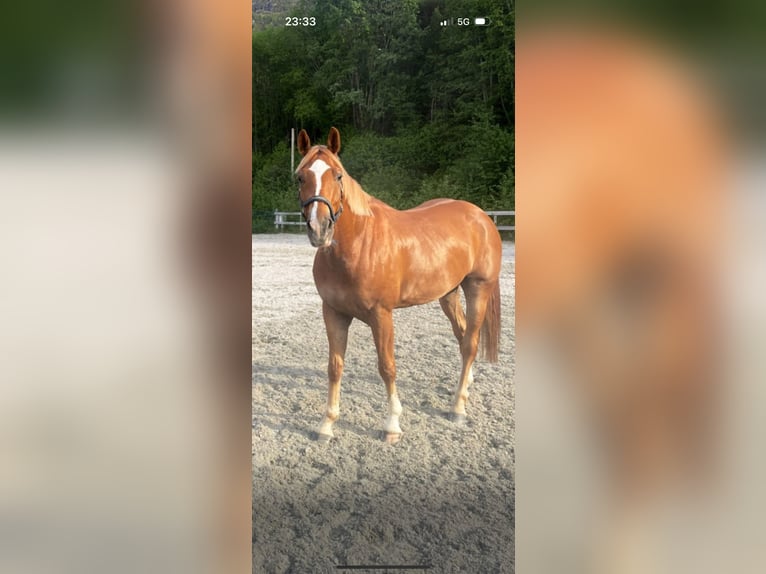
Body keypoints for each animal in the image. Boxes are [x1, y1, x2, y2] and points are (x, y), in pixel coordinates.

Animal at [294, 127, 502, 443]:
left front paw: (392, 425)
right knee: (463, 335)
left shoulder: (381, 315)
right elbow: (334, 367)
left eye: (338, 175)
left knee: (470, 343)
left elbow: (387, 366)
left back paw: (457, 408)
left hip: (478, 288)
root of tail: (482, 218)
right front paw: (326, 425)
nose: (320, 229)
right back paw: (465, 386)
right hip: (449, 294)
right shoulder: (333, 312)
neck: (357, 244)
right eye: (300, 177)